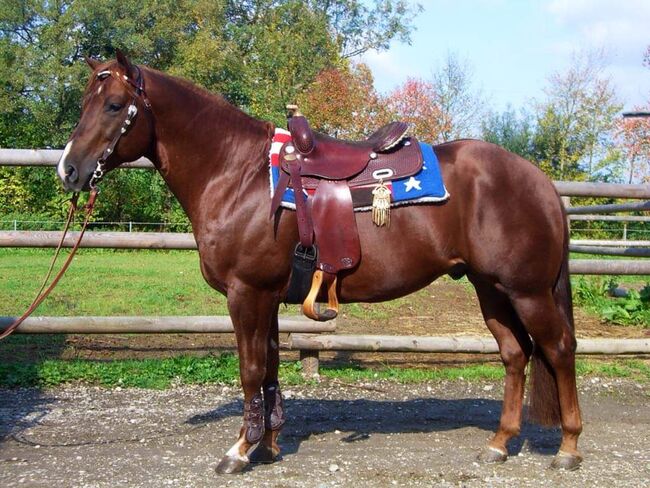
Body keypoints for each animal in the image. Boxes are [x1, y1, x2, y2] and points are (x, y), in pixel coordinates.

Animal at [57, 51, 582, 474]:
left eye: (114, 105)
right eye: (84, 102)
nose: (69, 170)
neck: (239, 175)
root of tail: (538, 180)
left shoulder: (246, 294)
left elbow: (250, 370)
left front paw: (238, 451)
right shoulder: (266, 298)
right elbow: (269, 369)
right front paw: (267, 445)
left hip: (528, 291)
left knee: (558, 350)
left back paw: (569, 448)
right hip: (490, 288)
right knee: (515, 355)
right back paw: (498, 444)